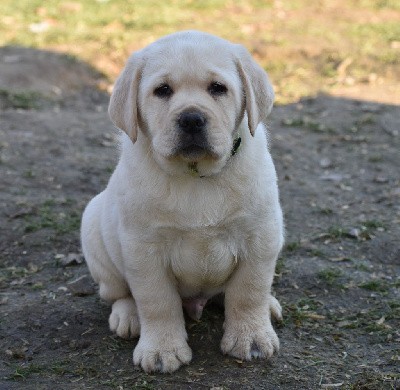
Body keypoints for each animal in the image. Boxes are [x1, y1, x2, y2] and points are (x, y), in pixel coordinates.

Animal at [79, 29, 282, 372]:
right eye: (162, 91)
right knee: (120, 293)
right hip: (94, 229)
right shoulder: (143, 248)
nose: (191, 119)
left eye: (218, 88)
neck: (195, 175)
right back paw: (127, 316)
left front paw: (251, 338)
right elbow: (157, 301)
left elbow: (249, 290)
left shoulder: (260, 235)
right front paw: (162, 350)